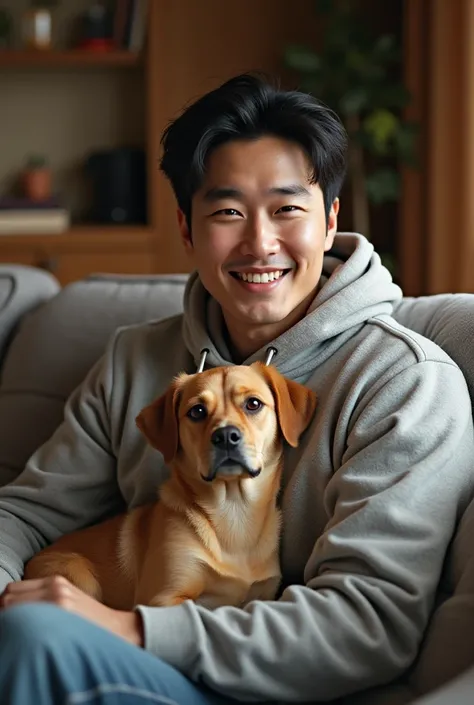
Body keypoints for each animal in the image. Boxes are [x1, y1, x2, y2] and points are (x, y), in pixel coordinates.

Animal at [24, 364, 316, 612]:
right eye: (197, 411)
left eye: (253, 404)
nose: (225, 436)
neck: (234, 512)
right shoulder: (163, 597)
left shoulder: (263, 593)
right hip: (77, 572)